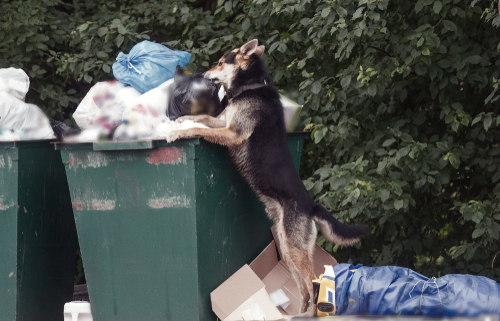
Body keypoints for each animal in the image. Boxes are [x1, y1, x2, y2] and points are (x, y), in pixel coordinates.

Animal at [166, 39, 370, 316]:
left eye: (219, 62)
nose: (203, 74)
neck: (250, 85)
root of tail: (312, 205)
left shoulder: (233, 133)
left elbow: (199, 128)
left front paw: (177, 133)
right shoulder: (224, 124)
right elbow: (201, 118)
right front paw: (181, 119)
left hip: (295, 249)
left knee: (314, 282)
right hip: (287, 247)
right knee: (304, 290)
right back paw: (297, 313)